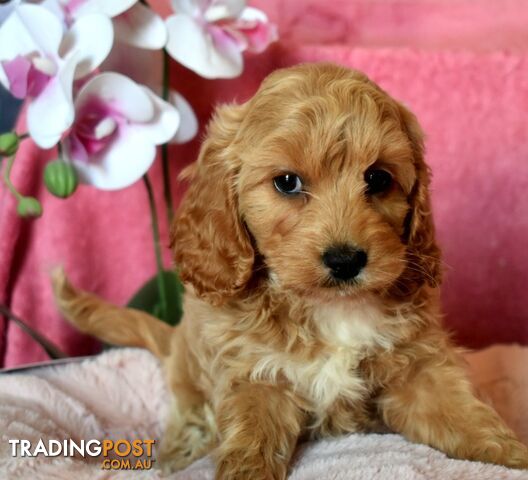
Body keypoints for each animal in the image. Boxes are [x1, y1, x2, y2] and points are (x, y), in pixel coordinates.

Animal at [52, 62, 528, 476]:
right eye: (287, 182)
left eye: (378, 178)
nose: (345, 260)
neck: (330, 309)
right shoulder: (256, 377)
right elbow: (252, 438)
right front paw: (244, 473)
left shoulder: (417, 368)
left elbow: (463, 415)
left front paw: (512, 454)